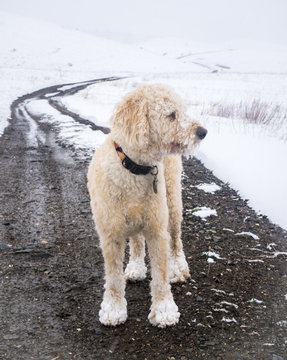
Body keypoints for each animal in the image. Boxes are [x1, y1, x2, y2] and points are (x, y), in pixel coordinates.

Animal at [88, 83, 207, 326]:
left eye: (183, 110)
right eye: (171, 114)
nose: (202, 132)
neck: (134, 168)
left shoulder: (157, 229)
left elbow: (160, 274)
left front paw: (164, 310)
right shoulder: (110, 233)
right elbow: (113, 277)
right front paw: (113, 309)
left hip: (172, 202)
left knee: (176, 240)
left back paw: (178, 268)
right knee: (135, 241)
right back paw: (135, 267)